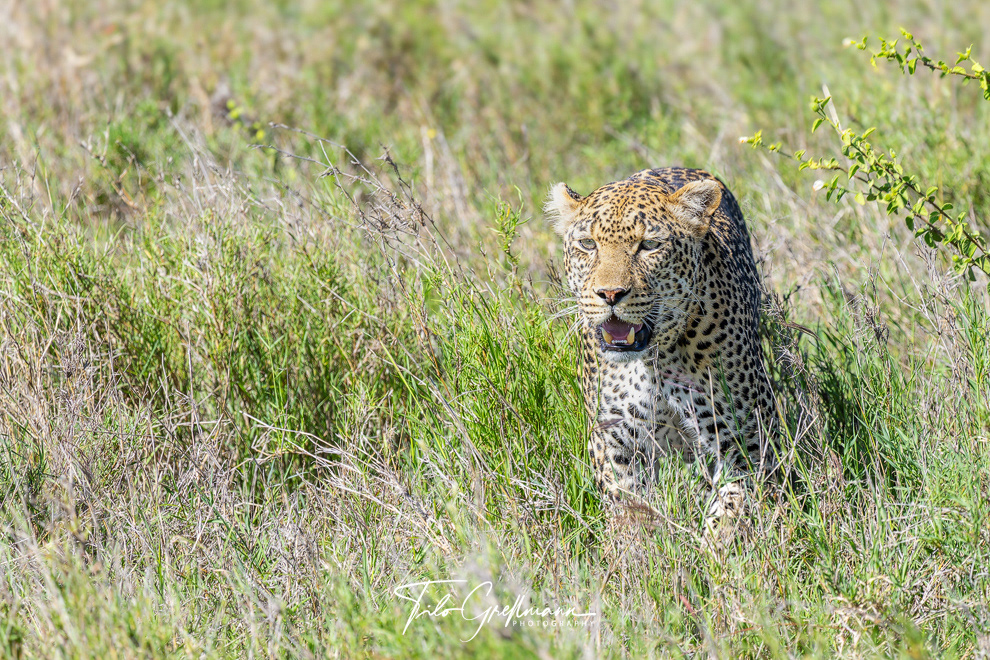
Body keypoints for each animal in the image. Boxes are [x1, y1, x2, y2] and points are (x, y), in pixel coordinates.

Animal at [546, 167, 777, 544]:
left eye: (649, 246)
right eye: (588, 244)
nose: (610, 293)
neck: (652, 361)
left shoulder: (746, 442)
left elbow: (730, 509)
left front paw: (713, 551)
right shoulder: (614, 442)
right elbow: (629, 508)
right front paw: (637, 549)